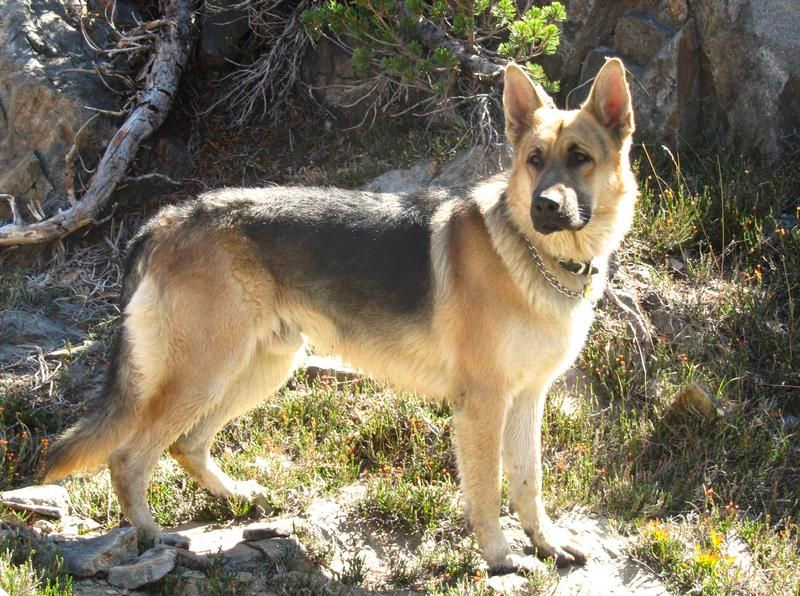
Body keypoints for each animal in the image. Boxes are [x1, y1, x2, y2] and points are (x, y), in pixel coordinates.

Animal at [48, 59, 636, 572]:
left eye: (579, 157)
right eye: (535, 159)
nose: (544, 208)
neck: (537, 257)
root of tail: (168, 218)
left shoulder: (527, 399)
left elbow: (528, 484)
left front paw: (547, 543)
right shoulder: (482, 404)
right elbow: (488, 494)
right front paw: (499, 559)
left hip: (258, 370)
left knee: (185, 444)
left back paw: (237, 497)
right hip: (204, 374)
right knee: (129, 458)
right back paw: (152, 536)